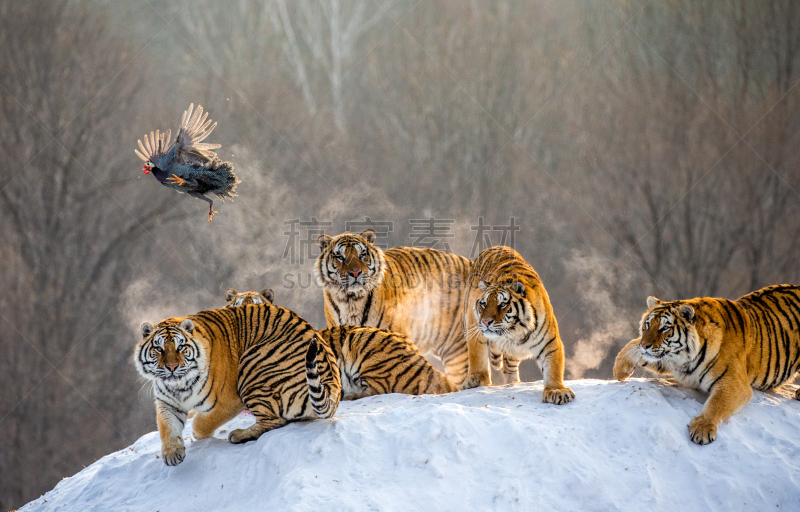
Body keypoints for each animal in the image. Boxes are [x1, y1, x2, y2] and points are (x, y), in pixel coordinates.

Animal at [134, 302, 340, 466]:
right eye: (159, 349)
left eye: (180, 347)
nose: (171, 367)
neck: (180, 386)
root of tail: (333, 386)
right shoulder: (167, 402)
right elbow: (167, 426)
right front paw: (172, 453)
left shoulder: (228, 400)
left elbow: (204, 421)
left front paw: (197, 433)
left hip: (253, 367)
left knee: (274, 420)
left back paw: (238, 435)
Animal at [462, 246, 576, 406]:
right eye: (484, 304)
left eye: (502, 304)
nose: (486, 322)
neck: (514, 331)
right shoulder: (475, 327)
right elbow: (477, 354)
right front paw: (476, 379)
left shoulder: (550, 342)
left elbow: (554, 367)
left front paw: (557, 391)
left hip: (515, 353)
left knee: (509, 368)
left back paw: (513, 383)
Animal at [612, 284, 800, 444]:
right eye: (647, 325)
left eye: (665, 328)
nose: (645, 345)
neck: (683, 357)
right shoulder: (668, 361)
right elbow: (632, 344)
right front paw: (620, 370)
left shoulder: (733, 382)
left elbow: (716, 403)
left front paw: (702, 429)